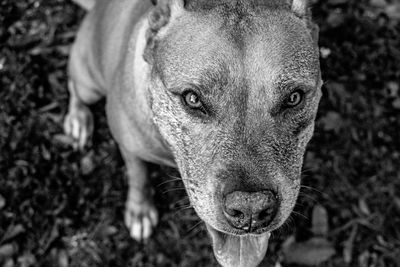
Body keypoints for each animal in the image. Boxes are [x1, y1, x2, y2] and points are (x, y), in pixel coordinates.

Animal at [64, 0, 322, 266]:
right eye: (192, 99)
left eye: (294, 98)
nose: (251, 209)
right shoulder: (129, 147)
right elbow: (138, 176)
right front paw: (140, 209)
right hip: (88, 84)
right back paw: (78, 119)